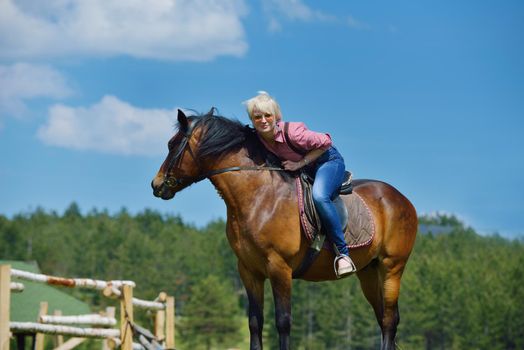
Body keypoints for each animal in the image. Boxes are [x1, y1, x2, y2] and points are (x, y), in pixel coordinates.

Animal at [150, 109, 418, 350]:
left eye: (172, 144)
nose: (156, 184)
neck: (258, 196)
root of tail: (402, 199)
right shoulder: (249, 270)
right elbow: (255, 323)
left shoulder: (279, 267)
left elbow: (283, 322)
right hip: (368, 272)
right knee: (382, 319)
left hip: (392, 267)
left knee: (389, 320)